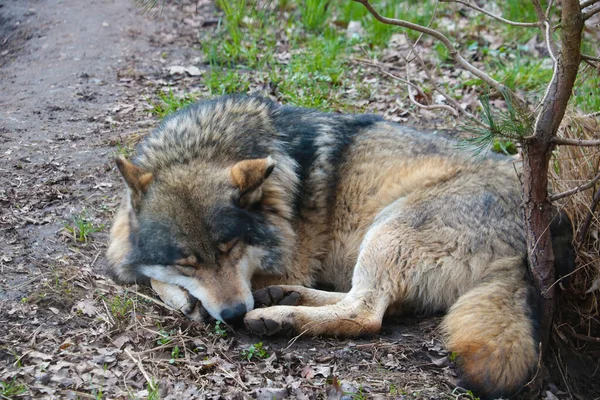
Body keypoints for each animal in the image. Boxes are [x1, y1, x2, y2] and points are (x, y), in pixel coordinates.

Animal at [106, 95, 572, 398]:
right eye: (187, 262)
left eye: (231, 247)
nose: (234, 314)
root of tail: (537, 236)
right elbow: (142, 271)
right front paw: (183, 296)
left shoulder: (286, 261)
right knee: (368, 301)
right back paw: (281, 300)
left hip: (388, 229)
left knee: (367, 314)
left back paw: (278, 315)